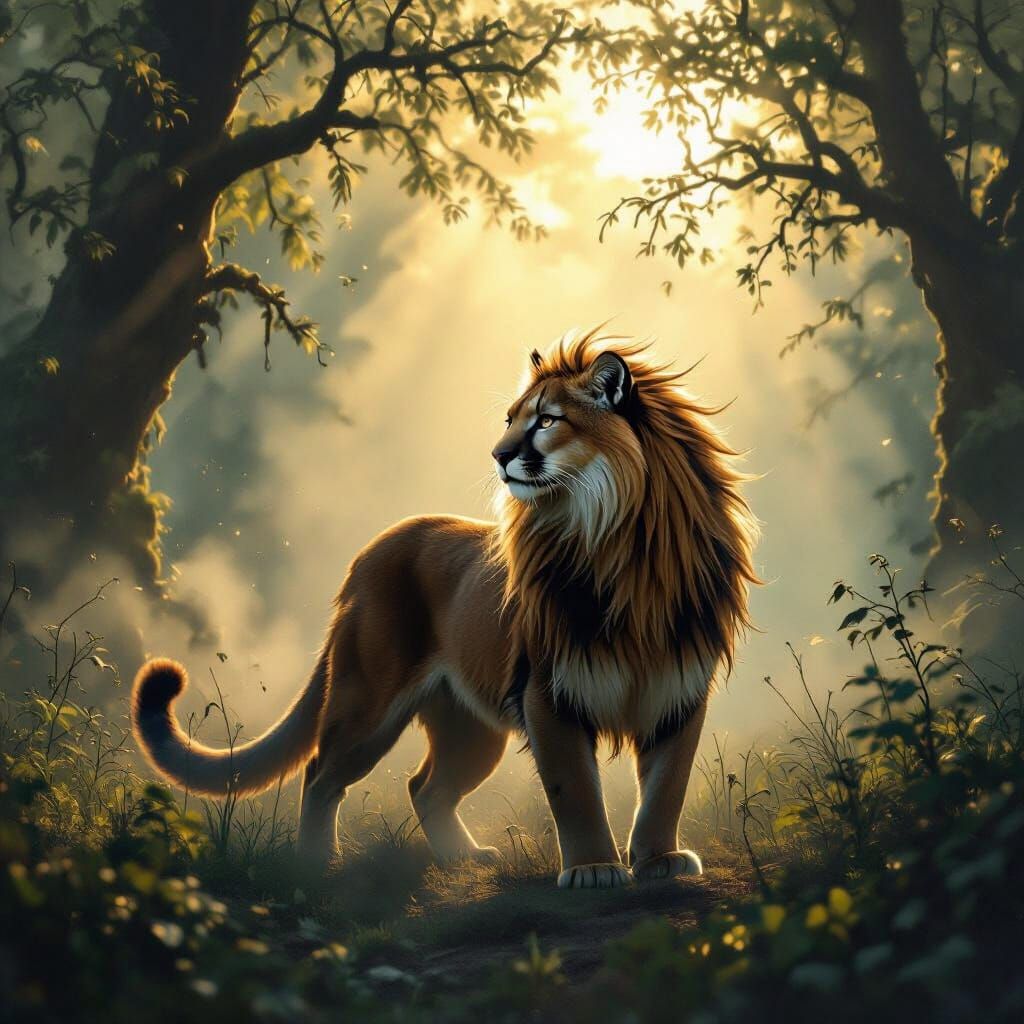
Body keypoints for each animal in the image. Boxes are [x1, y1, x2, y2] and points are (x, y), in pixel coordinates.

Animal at [132, 330, 758, 888]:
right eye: (510, 419)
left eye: (546, 420)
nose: (498, 455)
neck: (623, 546)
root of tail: (368, 553)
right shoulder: (548, 692)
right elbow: (576, 792)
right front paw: (593, 870)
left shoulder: (678, 688)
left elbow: (666, 789)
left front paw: (660, 861)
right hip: (368, 703)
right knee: (320, 774)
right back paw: (317, 864)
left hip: (471, 728)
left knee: (424, 786)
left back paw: (463, 857)